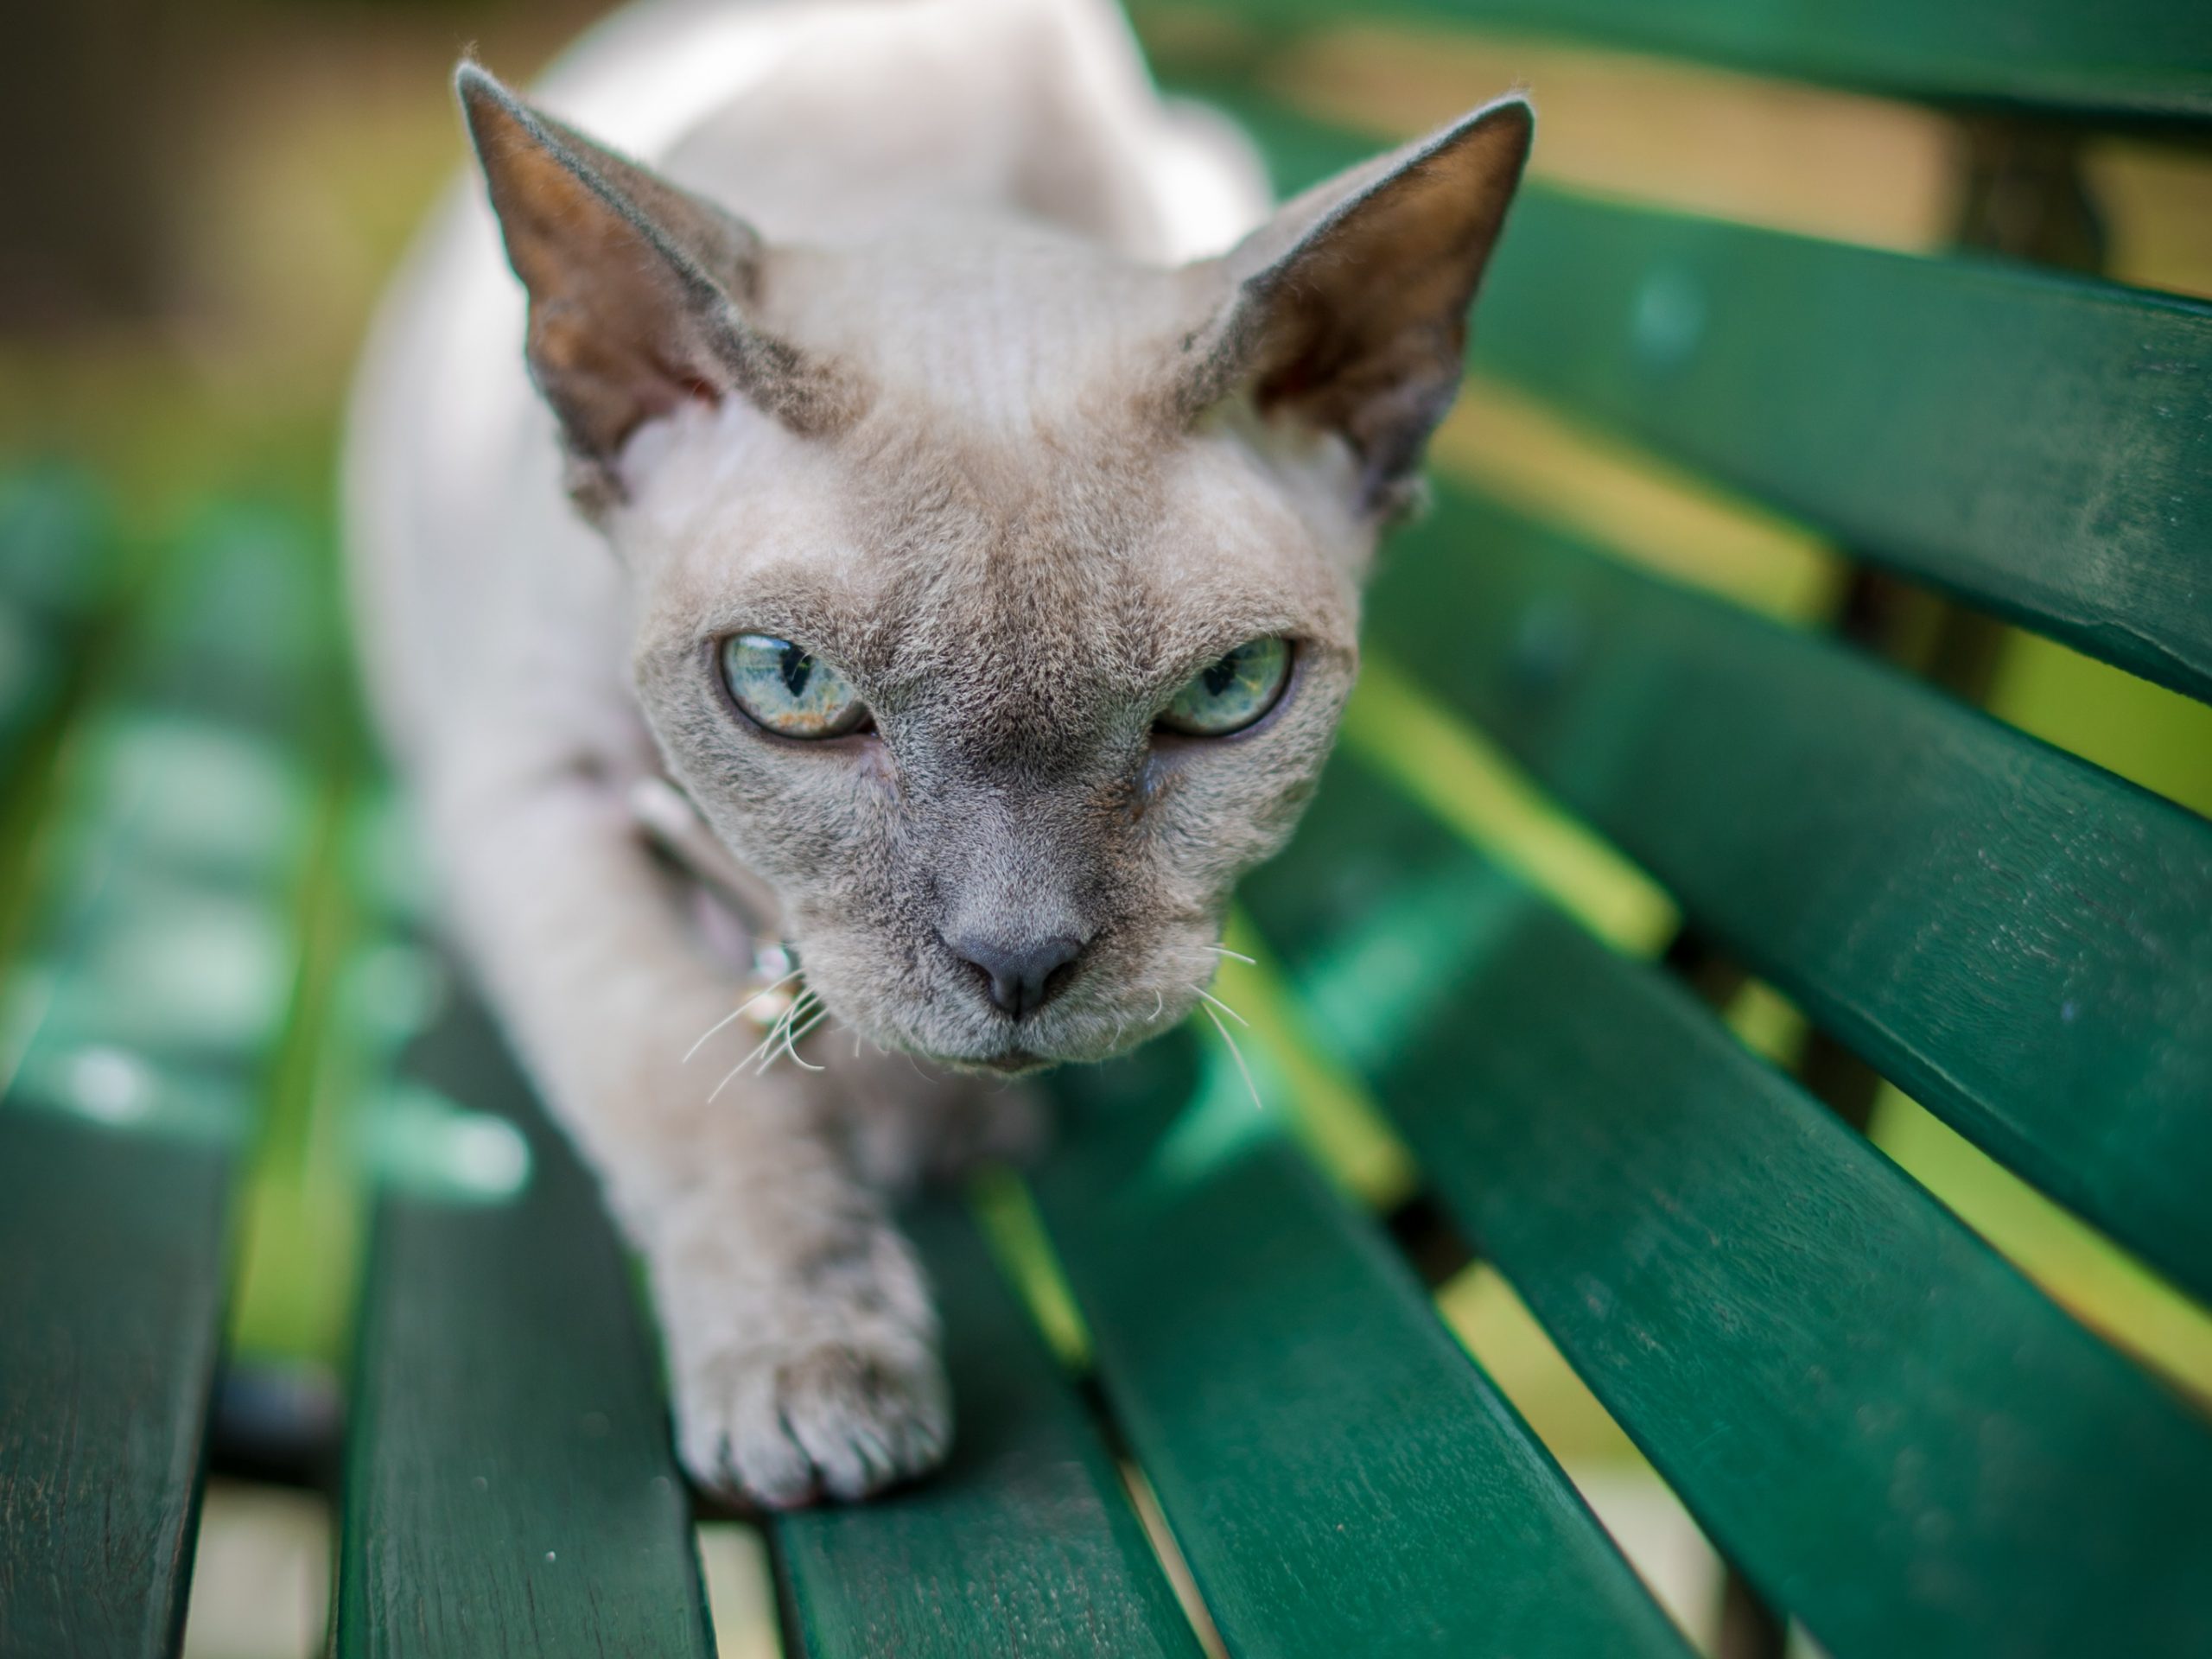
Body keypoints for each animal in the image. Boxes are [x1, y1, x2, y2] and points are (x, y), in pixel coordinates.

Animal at [345, 0, 1530, 1513]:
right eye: (790, 685)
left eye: (1226, 692)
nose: (1017, 964)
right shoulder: (533, 795)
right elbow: (696, 1095)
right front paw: (813, 1375)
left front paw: (928, 1129)